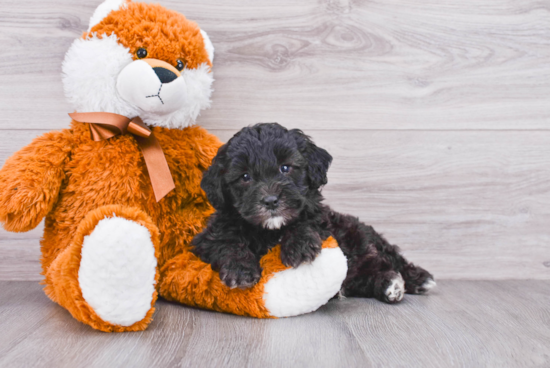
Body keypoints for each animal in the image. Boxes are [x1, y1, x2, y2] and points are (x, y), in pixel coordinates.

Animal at [192, 123, 438, 302]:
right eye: (245, 177)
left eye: (285, 167)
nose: (271, 201)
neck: (270, 230)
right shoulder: (206, 239)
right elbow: (226, 242)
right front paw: (239, 269)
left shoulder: (323, 221)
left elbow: (307, 222)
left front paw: (299, 247)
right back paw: (388, 285)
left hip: (361, 234)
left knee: (391, 257)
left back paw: (416, 280)